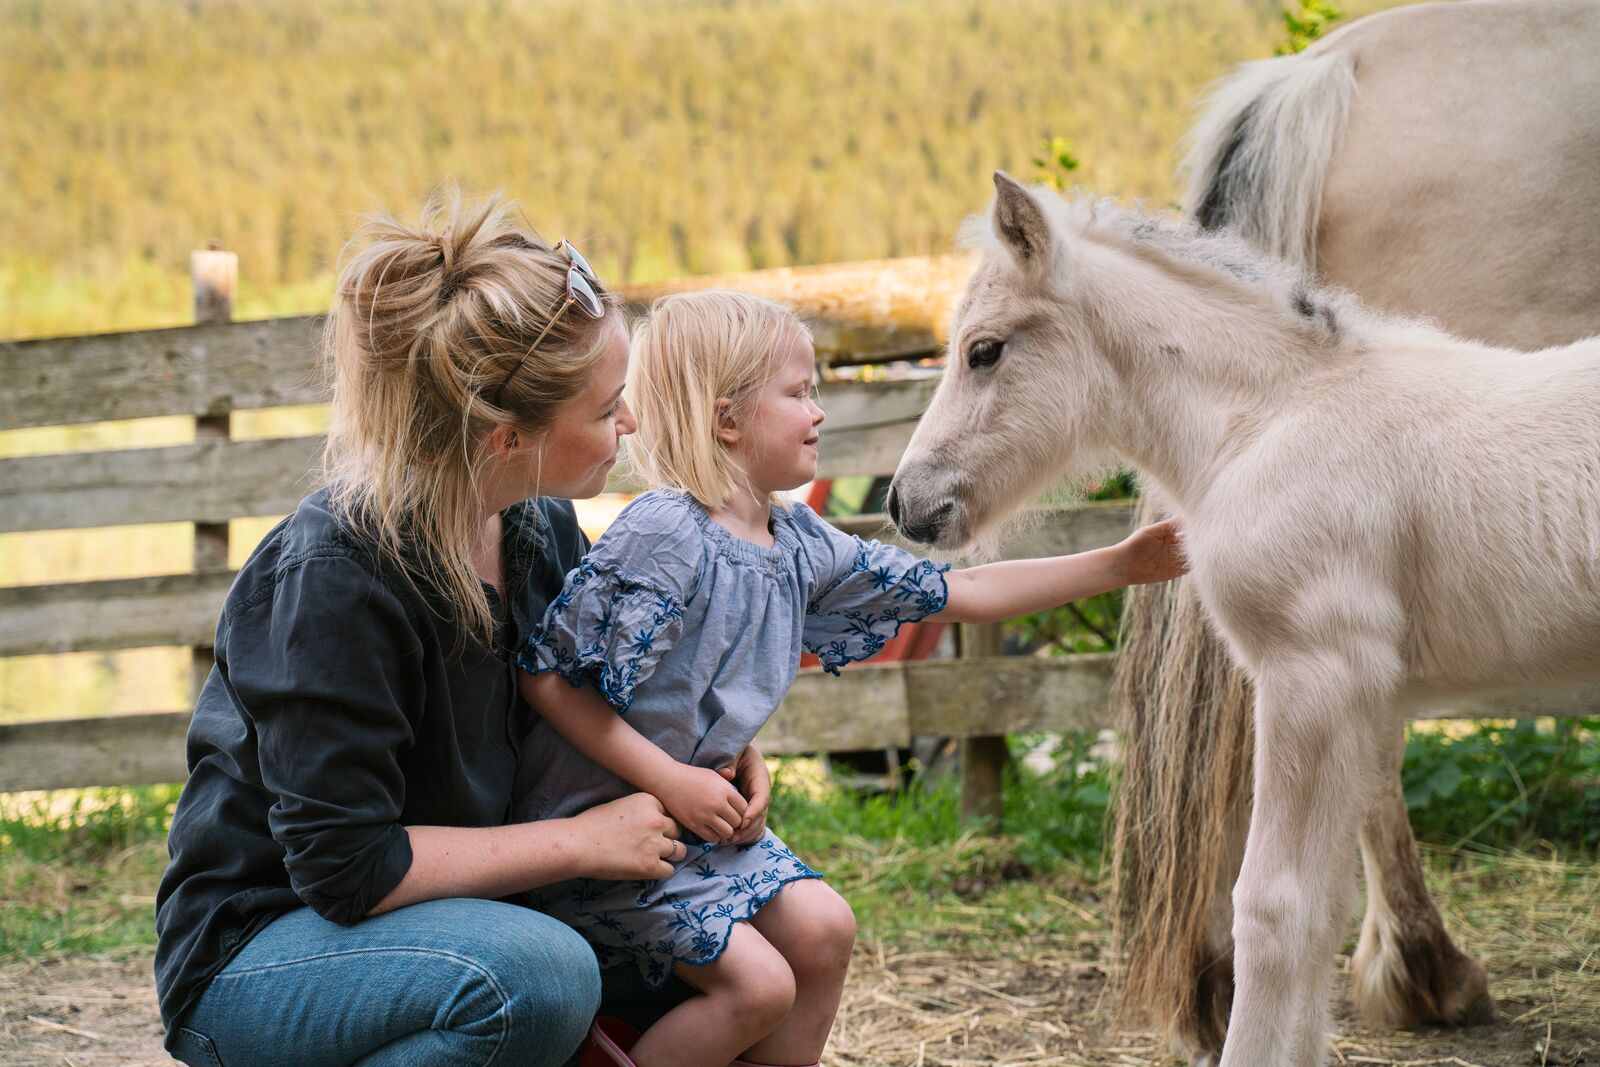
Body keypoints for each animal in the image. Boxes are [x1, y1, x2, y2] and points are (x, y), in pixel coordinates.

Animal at [885, 175, 1600, 1067]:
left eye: (984, 350)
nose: (904, 502)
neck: (1268, 420)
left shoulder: (1313, 678)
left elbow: (1273, 909)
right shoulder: (1364, 702)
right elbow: (1322, 910)